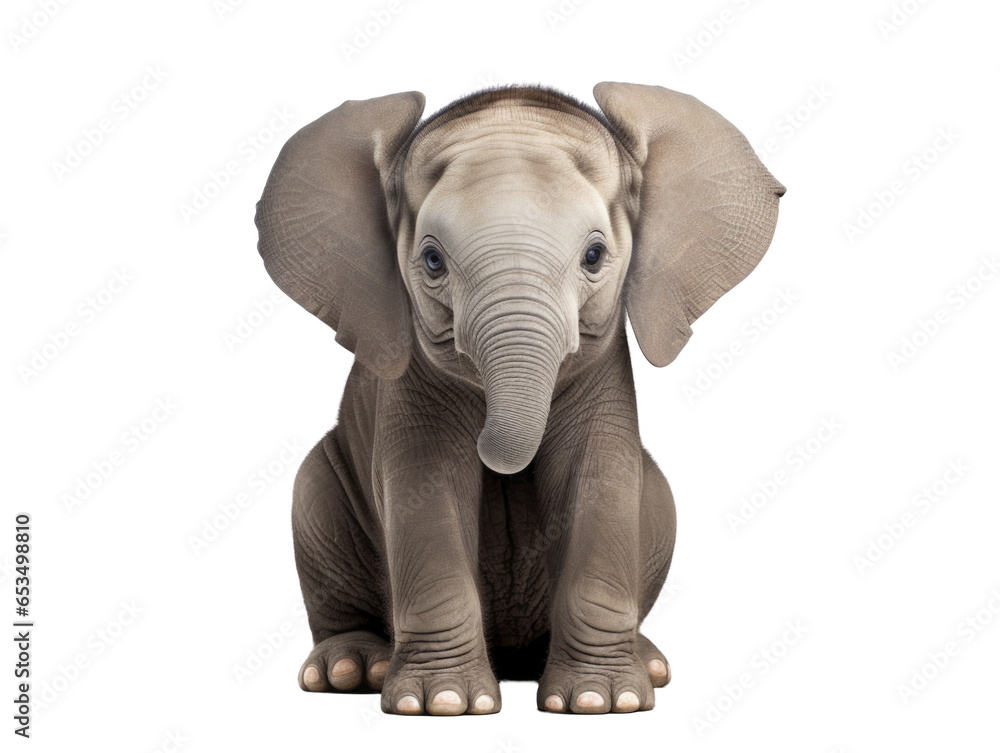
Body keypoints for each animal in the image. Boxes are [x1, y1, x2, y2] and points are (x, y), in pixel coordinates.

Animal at [254, 82, 784, 716]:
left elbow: (597, 478)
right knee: (312, 491)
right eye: (431, 260)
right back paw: (351, 668)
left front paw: (601, 702)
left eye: (594, 257)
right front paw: (442, 704)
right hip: (322, 505)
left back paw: (650, 665)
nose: (498, 455)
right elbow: (426, 483)